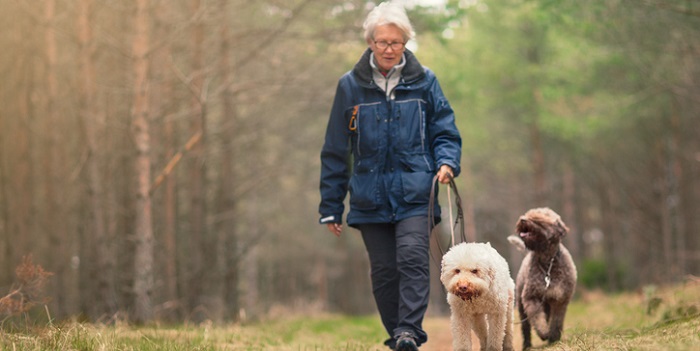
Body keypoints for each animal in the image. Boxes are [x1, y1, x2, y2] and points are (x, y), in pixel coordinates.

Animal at [508, 208, 576, 350]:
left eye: (538, 219)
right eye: (528, 214)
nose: (523, 219)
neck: (548, 263)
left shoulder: (560, 299)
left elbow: (556, 321)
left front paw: (554, 339)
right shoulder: (531, 298)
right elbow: (538, 319)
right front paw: (544, 333)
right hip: (521, 306)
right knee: (526, 328)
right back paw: (527, 345)